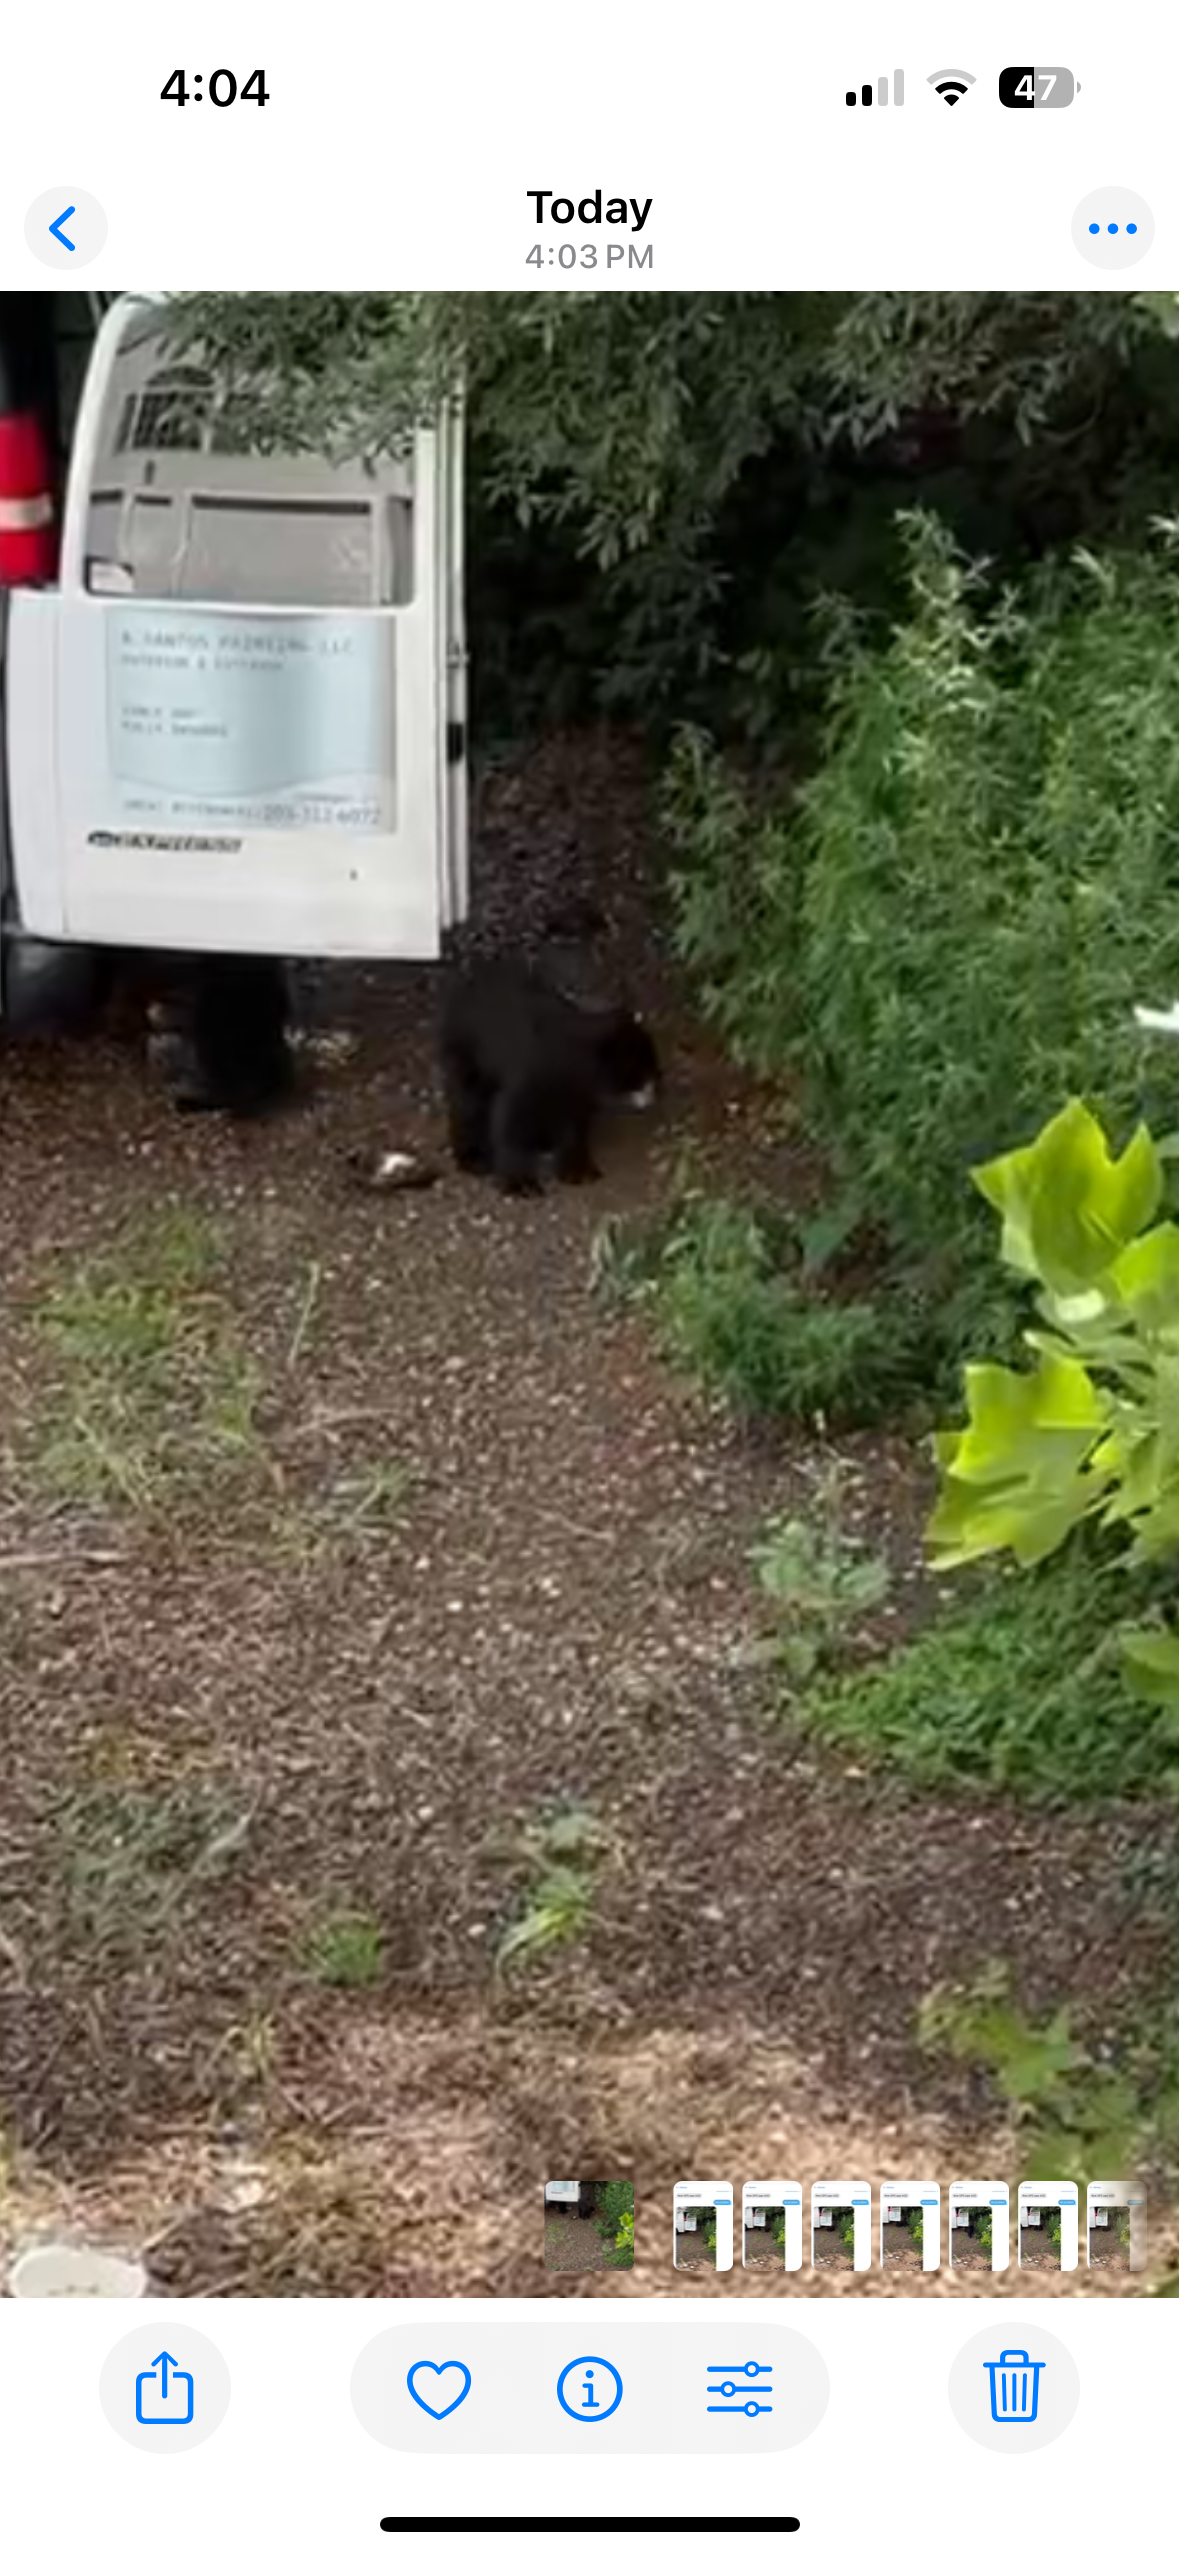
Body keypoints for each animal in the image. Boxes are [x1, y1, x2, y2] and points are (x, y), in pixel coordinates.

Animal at [438, 957, 659, 1194]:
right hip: (465, 1058)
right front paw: (520, 1183)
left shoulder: (575, 1098)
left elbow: (573, 1132)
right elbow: (510, 1128)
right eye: (638, 1073)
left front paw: (578, 1171)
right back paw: (473, 1158)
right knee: (467, 1106)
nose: (654, 1092)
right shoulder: (529, 1081)